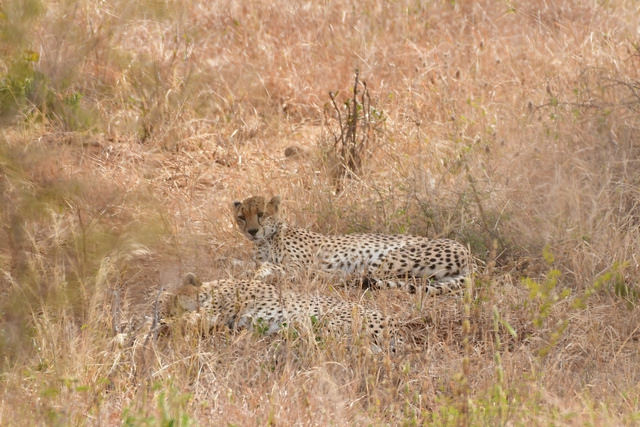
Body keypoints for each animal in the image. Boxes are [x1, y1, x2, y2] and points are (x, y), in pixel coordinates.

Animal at [159, 274, 400, 352]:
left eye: (173, 299)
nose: (166, 305)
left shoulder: (214, 312)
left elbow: (186, 320)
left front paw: (162, 324)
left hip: (334, 324)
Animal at [232, 196, 472, 296]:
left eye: (261, 214)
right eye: (242, 217)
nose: (252, 231)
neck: (267, 239)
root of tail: (466, 251)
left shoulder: (300, 267)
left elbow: (273, 267)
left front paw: (260, 274)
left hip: (387, 259)